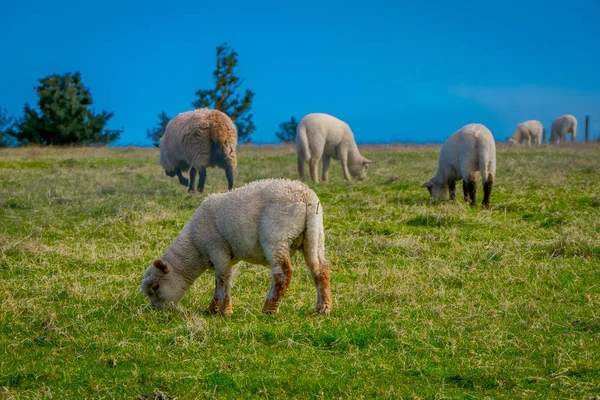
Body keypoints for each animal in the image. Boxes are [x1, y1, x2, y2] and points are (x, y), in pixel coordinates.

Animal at [141, 179, 332, 316]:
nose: (157, 312)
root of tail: (306, 197)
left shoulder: (217, 248)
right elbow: (222, 281)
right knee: (320, 269)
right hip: (315, 235)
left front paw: (224, 311)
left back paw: (269, 308)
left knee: (283, 273)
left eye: (155, 288)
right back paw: (323, 308)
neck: (195, 246)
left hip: (277, 237)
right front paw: (213, 309)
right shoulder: (230, 256)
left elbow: (222, 280)